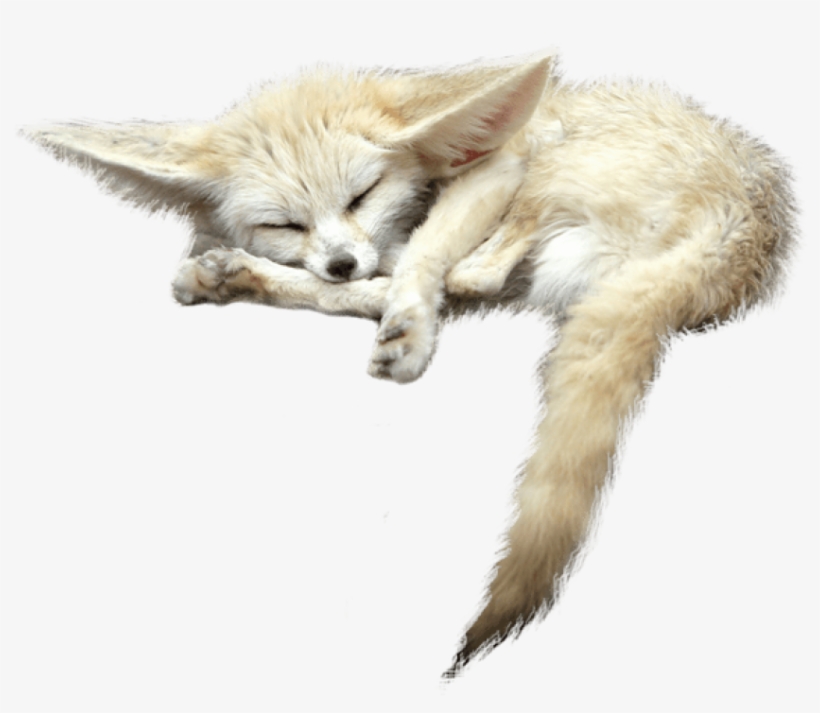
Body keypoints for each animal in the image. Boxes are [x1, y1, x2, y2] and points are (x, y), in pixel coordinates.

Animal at [23, 53, 796, 677]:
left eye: (361, 195)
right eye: (285, 222)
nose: (340, 259)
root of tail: (745, 232)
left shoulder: (495, 167)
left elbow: (428, 255)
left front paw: (409, 324)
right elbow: (386, 273)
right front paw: (255, 267)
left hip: (550, 166)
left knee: (475, 270)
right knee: (457, 282)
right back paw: (248, 278)